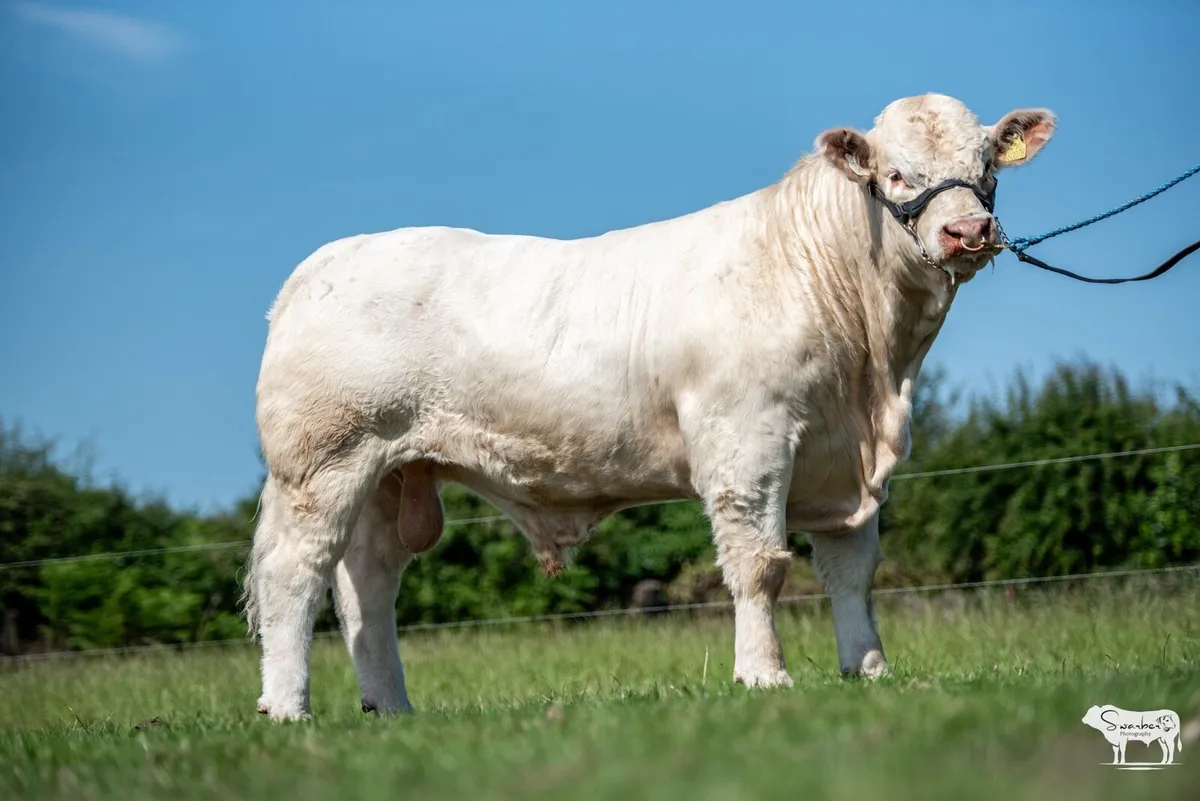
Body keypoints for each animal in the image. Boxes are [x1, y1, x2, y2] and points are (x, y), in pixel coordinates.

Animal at [242, 93, 1056, 721]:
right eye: (894, 172)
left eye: (987, 167)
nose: (967, 231)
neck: (875, 374)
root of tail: (320, 265)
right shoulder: (747, 444)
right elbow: (761, 567)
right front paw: (764, 674)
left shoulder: (843, 468)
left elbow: (853, 573)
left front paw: (869, 669)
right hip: (324, 462)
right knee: (293, 576)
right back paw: (288, 708)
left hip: (389, 471)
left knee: (368, 587)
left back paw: (390, 706)